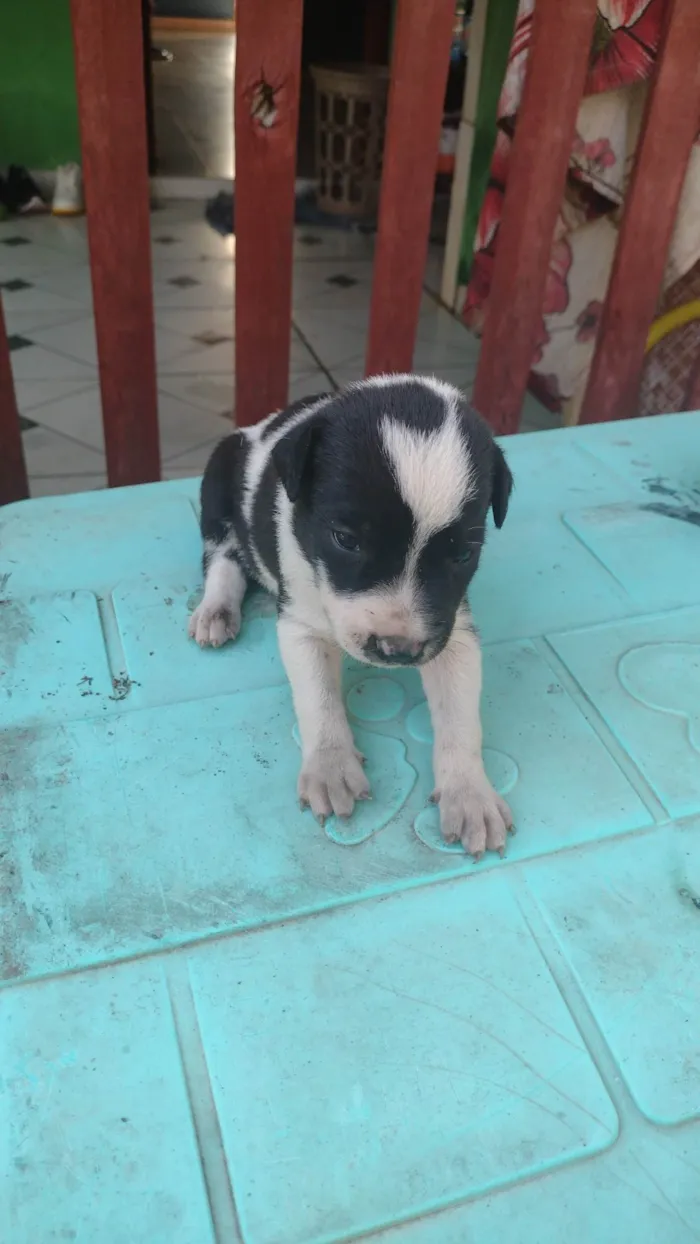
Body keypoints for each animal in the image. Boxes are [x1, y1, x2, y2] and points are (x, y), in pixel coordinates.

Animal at [190, 373, 514, 860]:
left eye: (463, 555)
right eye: (345, 539)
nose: (399, 650)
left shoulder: (451, 631)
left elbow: (459, 716)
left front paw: (470, 794)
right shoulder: (302, 624)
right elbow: (318, 698)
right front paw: (329, 766)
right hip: (217, 476)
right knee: (222, 552)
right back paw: (216, 608)